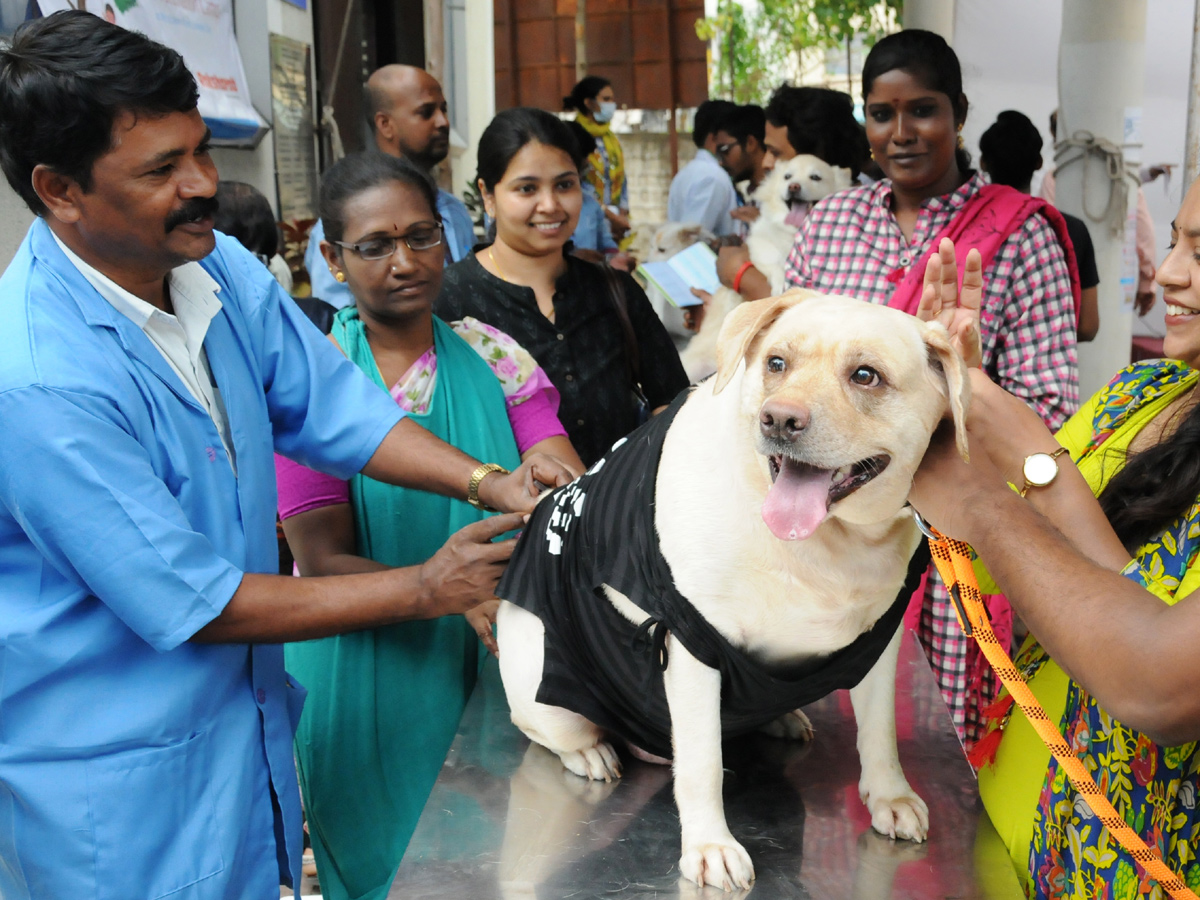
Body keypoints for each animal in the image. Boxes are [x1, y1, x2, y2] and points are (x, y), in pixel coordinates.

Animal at [492, 290, 969, 897]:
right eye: (776, 363)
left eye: (866, 375)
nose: (780, 419)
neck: (826, 545)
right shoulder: (693, 645)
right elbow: (699, 764)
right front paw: (709, 847)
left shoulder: (878, 643)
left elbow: (881, 730)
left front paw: (889, 795)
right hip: (546, 692)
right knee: (558, 730)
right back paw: (591, 753)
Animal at [676, 154, 854, 381]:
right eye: (787, 177)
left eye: (815, 177)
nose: (793, 186)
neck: (792, 234)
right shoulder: (759, 249)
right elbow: (772, 262)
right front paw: (779, 282)